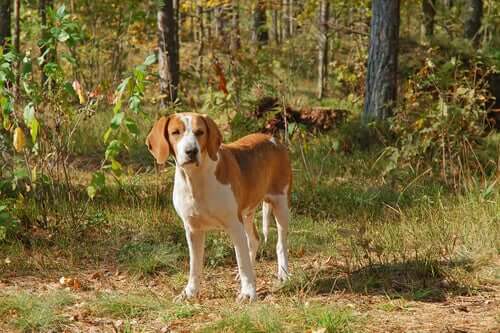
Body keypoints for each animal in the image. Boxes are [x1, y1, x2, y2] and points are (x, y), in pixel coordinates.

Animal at [146, 112, 292, 300]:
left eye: (200, 132)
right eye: (175, 132)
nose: (191, 151)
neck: (197, 178)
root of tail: (272, 139)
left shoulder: (234, 226)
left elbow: (242, 261)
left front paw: (248, 292)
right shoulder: (192, 230)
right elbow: (194, 266)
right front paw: (190, 292)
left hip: (281, 205)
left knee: (280, 244)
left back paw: (283, 274)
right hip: (246, 213)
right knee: (254, 239)